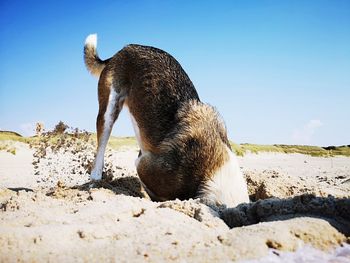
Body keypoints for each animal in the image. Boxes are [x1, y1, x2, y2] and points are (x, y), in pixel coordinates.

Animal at [84, 34, 249, 208]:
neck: (213, 170)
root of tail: (126, 48)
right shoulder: (144, 165)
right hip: (108, 111)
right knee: (101, 144)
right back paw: (96, 179)